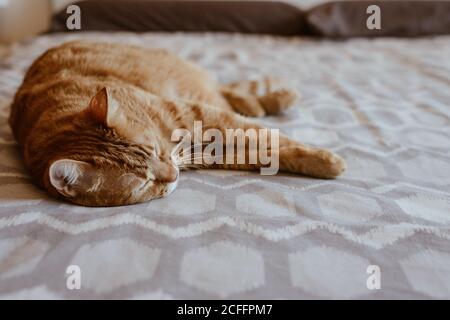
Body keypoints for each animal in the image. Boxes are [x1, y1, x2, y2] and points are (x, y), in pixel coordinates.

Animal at [9, 41, 348, 206]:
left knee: (227, 93)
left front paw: (327, 159)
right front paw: (322, 162)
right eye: (143, 183)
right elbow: (264, 150)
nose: (173, 176)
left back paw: (276, 98)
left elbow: (266, 135)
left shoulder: (194, 113)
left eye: (156, 151)